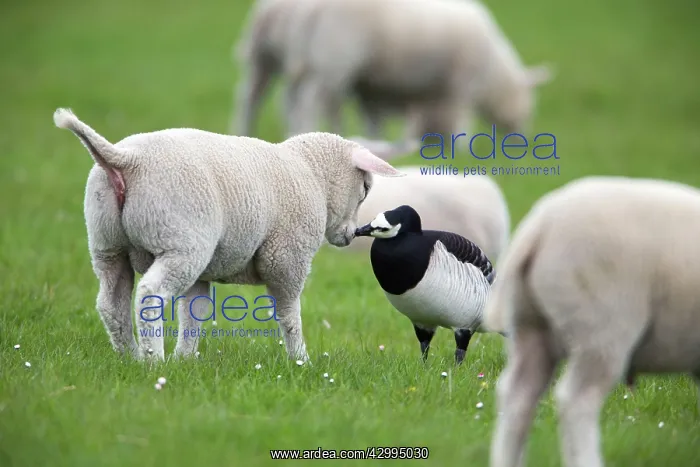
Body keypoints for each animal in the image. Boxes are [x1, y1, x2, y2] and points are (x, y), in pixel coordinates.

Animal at [53, 107, 404, 363]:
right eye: (365, 188)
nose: (351, 235)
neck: (312, 175)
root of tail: (126, 159)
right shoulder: (286, 258)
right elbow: (289, 314)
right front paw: (300, 361)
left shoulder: (203, 274)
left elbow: (193, 314)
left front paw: (184, 360)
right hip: (182, 244)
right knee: (150, 295)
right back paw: (153, 361)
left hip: (107, 245)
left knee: (111, 303)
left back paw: (131, 358)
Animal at [284, 0, 553, 140]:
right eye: (531, 104)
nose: (521, 137)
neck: (493, 73)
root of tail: (312, 8)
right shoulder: (461, 86)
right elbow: (460, 119)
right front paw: (462, 149)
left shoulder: (371, 87)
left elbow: (374, 120)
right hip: (332, 61)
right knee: (308, 102)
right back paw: (304, 130)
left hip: (306, 62)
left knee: (292, 100)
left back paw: (294, 134)